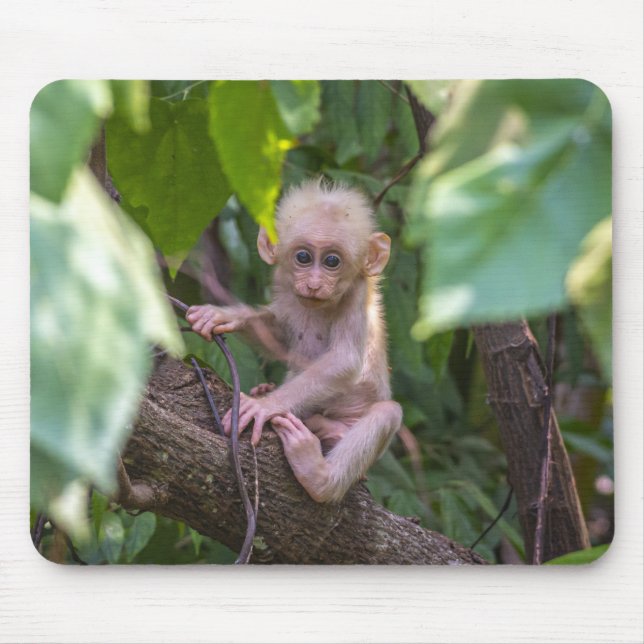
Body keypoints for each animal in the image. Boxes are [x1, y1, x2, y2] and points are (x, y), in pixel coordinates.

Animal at [186, 180, 402, 502]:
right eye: (303, 257)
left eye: (332, 261)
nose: (313, 284)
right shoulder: (286, 286)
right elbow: (279, 337)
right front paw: (225, 315)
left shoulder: (357, 294)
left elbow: (345, 360)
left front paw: (264, 406)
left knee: (388, 412)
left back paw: (318, 476)